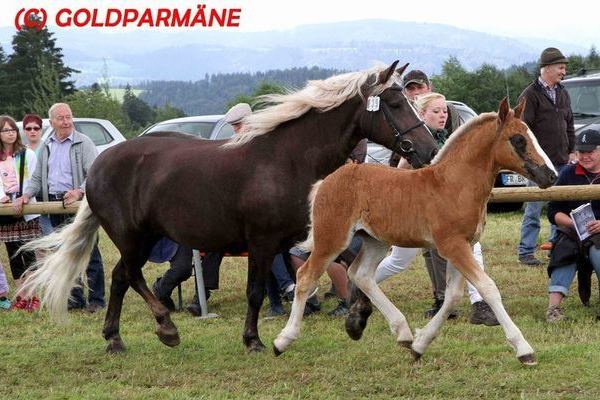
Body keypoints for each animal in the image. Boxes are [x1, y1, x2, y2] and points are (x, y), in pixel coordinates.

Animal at [24, 60, 436, 354]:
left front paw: (357, 318)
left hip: (144, 237)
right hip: (132, 237)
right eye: (395, 103)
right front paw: (253, 340)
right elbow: (257, 292)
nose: (430, 150)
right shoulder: (263, 242)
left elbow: (351, 268)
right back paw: (164, 328)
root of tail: (99, 165)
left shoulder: (303, 238)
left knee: (122, 278)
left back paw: (117, 338)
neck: (287, 160)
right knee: (128, 276)